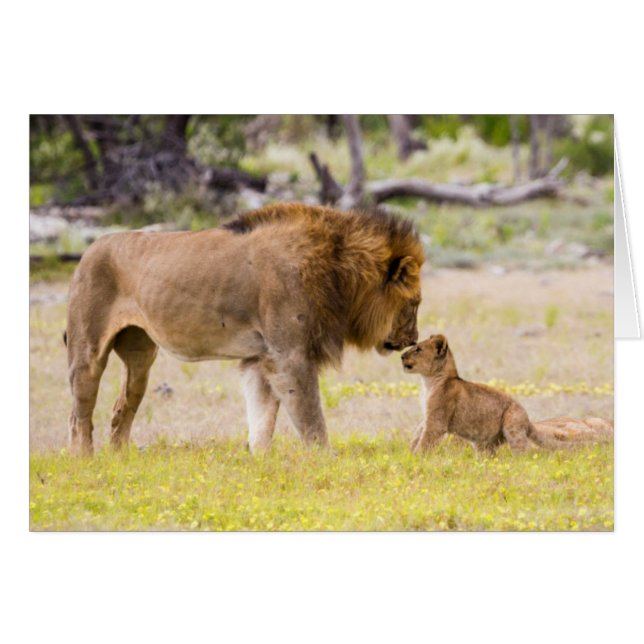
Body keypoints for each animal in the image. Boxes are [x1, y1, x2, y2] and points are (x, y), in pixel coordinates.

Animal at [65, 203, 424, 455]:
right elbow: (310, 417)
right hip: (87, 351)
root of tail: (88, 250)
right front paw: (326, 459)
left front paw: (259, 460)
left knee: (122, 406)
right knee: (78, 415)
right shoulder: (290, 356)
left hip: (141, 356)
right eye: (416, 303)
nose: (413, 340)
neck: (339, 273)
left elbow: (262, 417)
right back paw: (85, 461)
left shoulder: (260, 358)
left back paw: (120, 458)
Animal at [401, 334, 612, 454]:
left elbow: (425, 440)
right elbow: (418, 432)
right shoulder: (428, 416)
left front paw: (416, 458)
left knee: (525, 452)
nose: (402, 356)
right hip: (485, 444)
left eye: (418, 349)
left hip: (512, 425)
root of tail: (528, 420)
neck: (429, 381)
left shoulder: (437, 421)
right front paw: (410, 452)